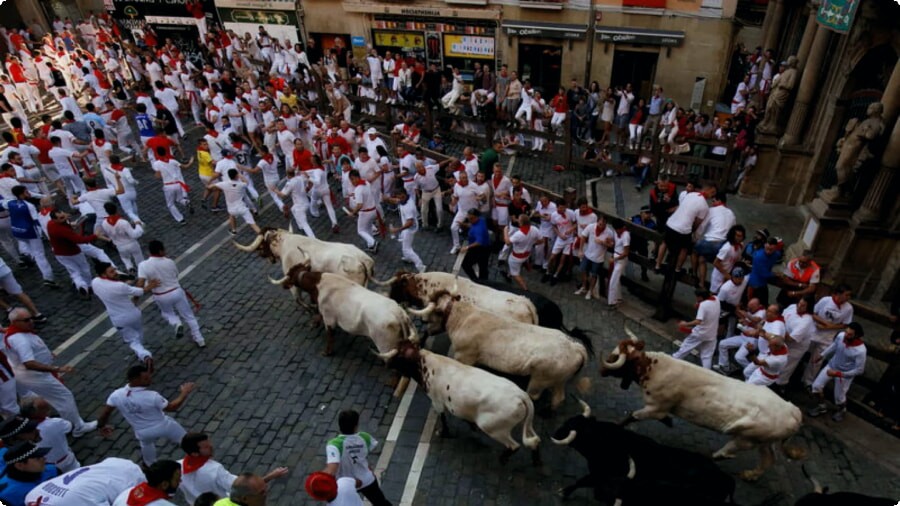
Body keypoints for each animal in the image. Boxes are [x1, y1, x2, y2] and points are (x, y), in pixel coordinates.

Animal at [272, 266, 416, 358]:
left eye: (289, 274)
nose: (284, 285)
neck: (318, 284)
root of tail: (397, 312)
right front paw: (314, 322)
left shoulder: (329, 318)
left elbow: (330, 336)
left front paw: (327, 352)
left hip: (386, 344)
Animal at [380, 338, 540, 464]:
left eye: (398, 355)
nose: (386, 363)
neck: (425, 365)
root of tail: (521, 395)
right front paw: (471, 426)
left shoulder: (437, 402)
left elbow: (443, 418)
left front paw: (444, 432)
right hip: (524, 424)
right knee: (535, 440)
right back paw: (536, 462)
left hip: (492, 427)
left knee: (514, 445)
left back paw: (503, 459)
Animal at [412, 290, 596, 410]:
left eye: (433, 313)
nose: (423, 321)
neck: (463, 318)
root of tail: (575, 346)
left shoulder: (465, 356)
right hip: (558, 380)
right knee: (559, 398)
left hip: (539, 380)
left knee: (535, 395)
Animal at [552, 416, 736, 506]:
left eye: (569, 428)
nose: (555, 433)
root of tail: (725, 478)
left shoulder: (602, 475)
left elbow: (582, 481)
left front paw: (564, 492)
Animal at [600, 330, 804, 480]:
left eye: (615, 356)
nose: (601, 370)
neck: (654, 368)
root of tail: (793, 410)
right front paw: (668, 422)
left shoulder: (656, 407)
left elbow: (632, 415)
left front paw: (616, 426)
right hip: (764, 442)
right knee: (768, 460)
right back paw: (750, 475)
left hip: (746, 438)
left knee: (724, 453)